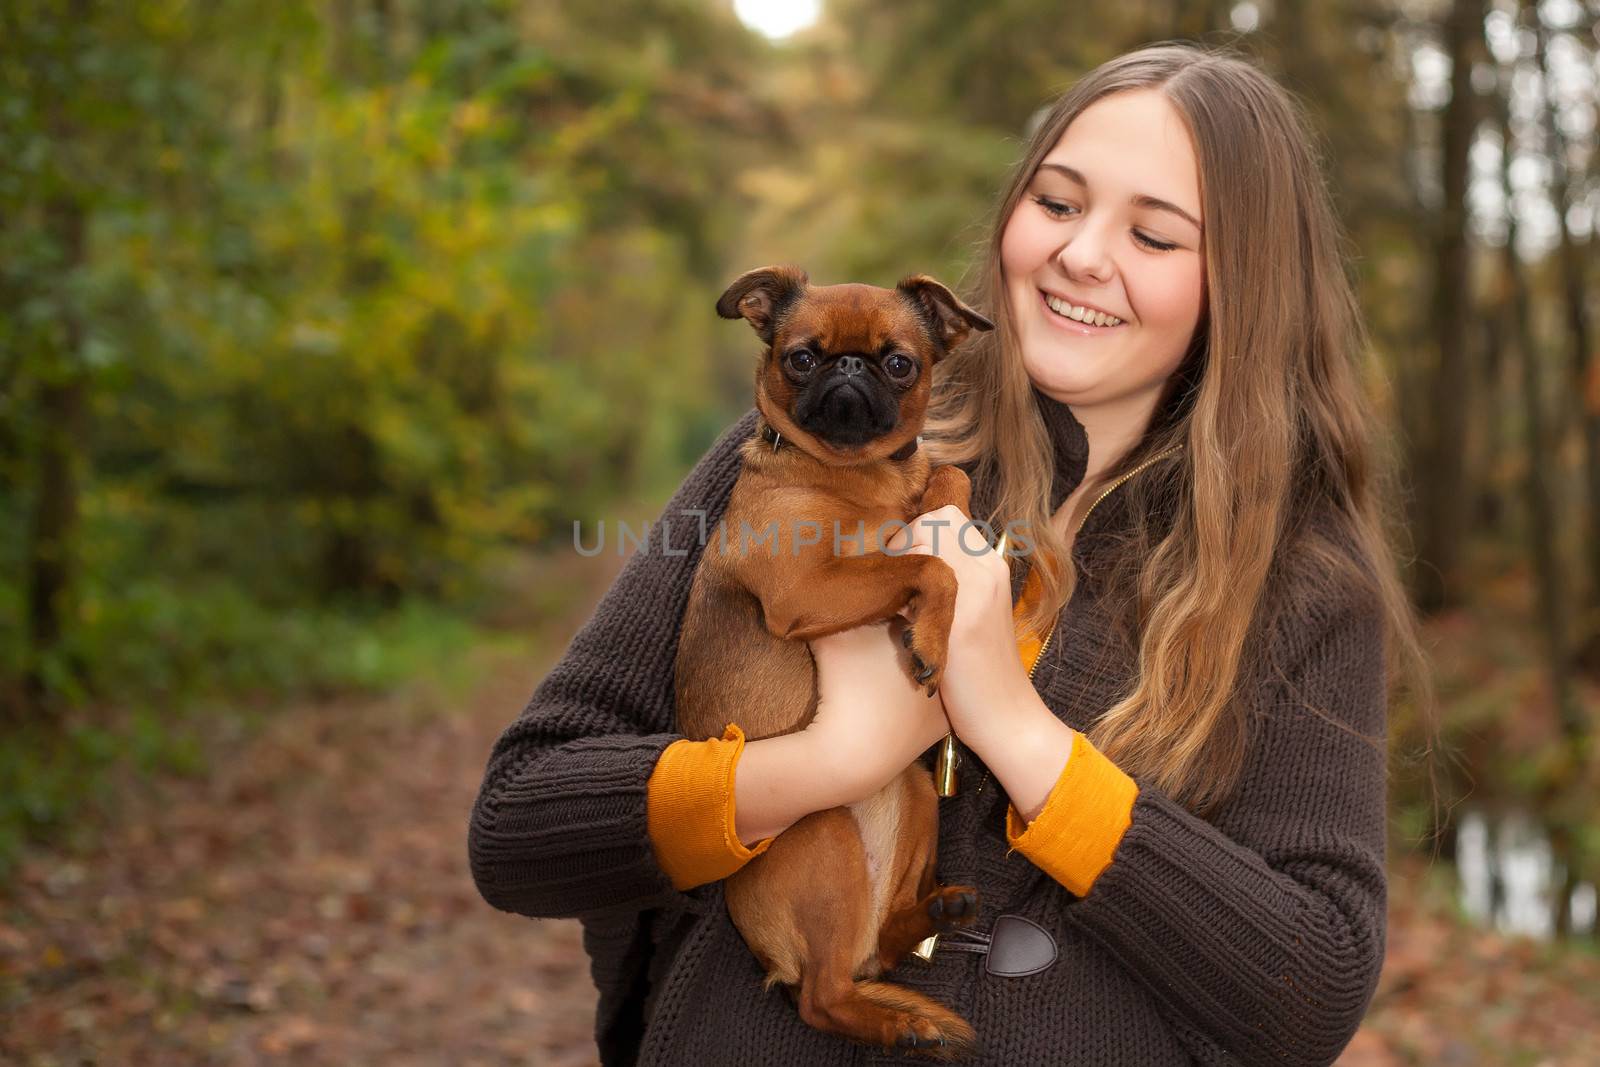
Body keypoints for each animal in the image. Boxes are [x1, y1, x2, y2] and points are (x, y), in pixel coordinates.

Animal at [672, 267, 985, 1062]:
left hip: (914, 794)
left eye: (899, 362)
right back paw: (898, 1023)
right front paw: (930, 638)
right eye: (802, 358)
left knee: (881, 947)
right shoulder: (804, 588)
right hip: (824, 833)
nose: (848, 368)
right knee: (823, 997)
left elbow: (949, 481)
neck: (856, 475)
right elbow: (929, 565)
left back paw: (939, 915)